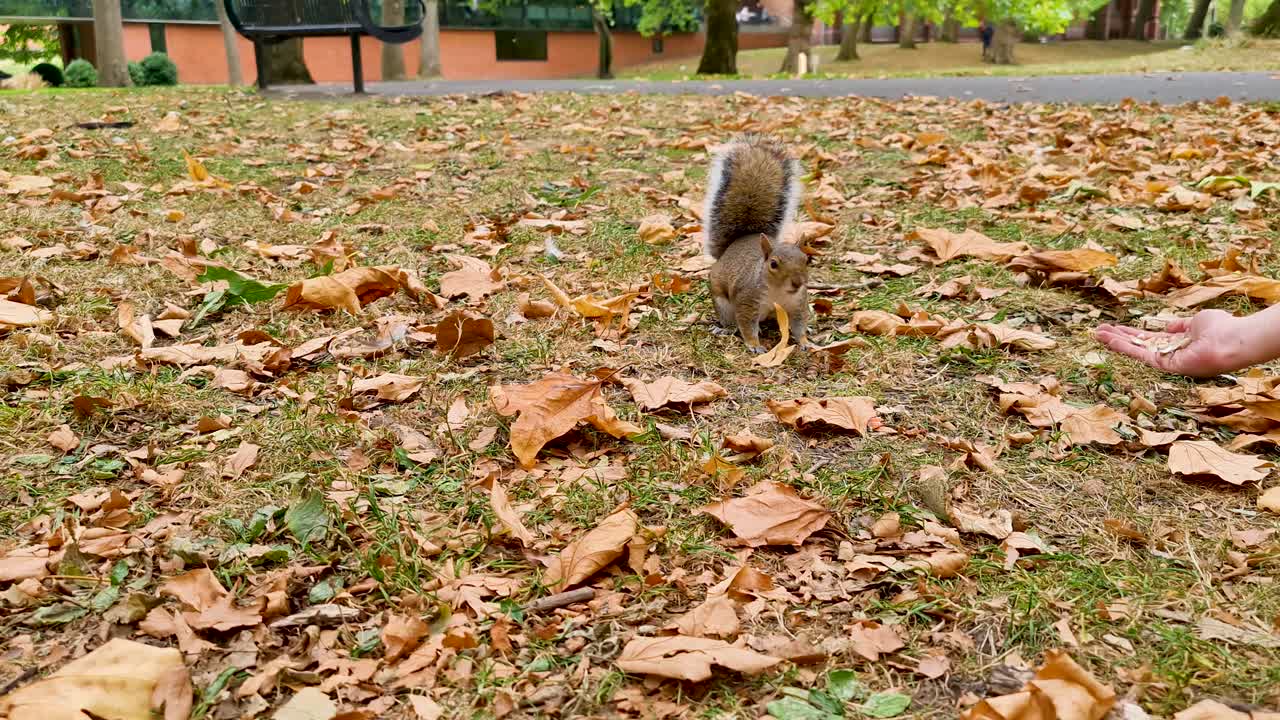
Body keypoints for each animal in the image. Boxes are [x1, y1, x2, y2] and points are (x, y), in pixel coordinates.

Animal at [704, 135, 810, 354]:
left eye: (807, 260)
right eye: (773, 264)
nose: (797, 283)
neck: (779, 293)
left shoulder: (798, 304)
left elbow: (799, 325)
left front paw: (805, 341)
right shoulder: (747, 300)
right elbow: (746, 325)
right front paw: (754, 346)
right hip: (722, 302)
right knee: (731, 321)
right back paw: (725, 329)